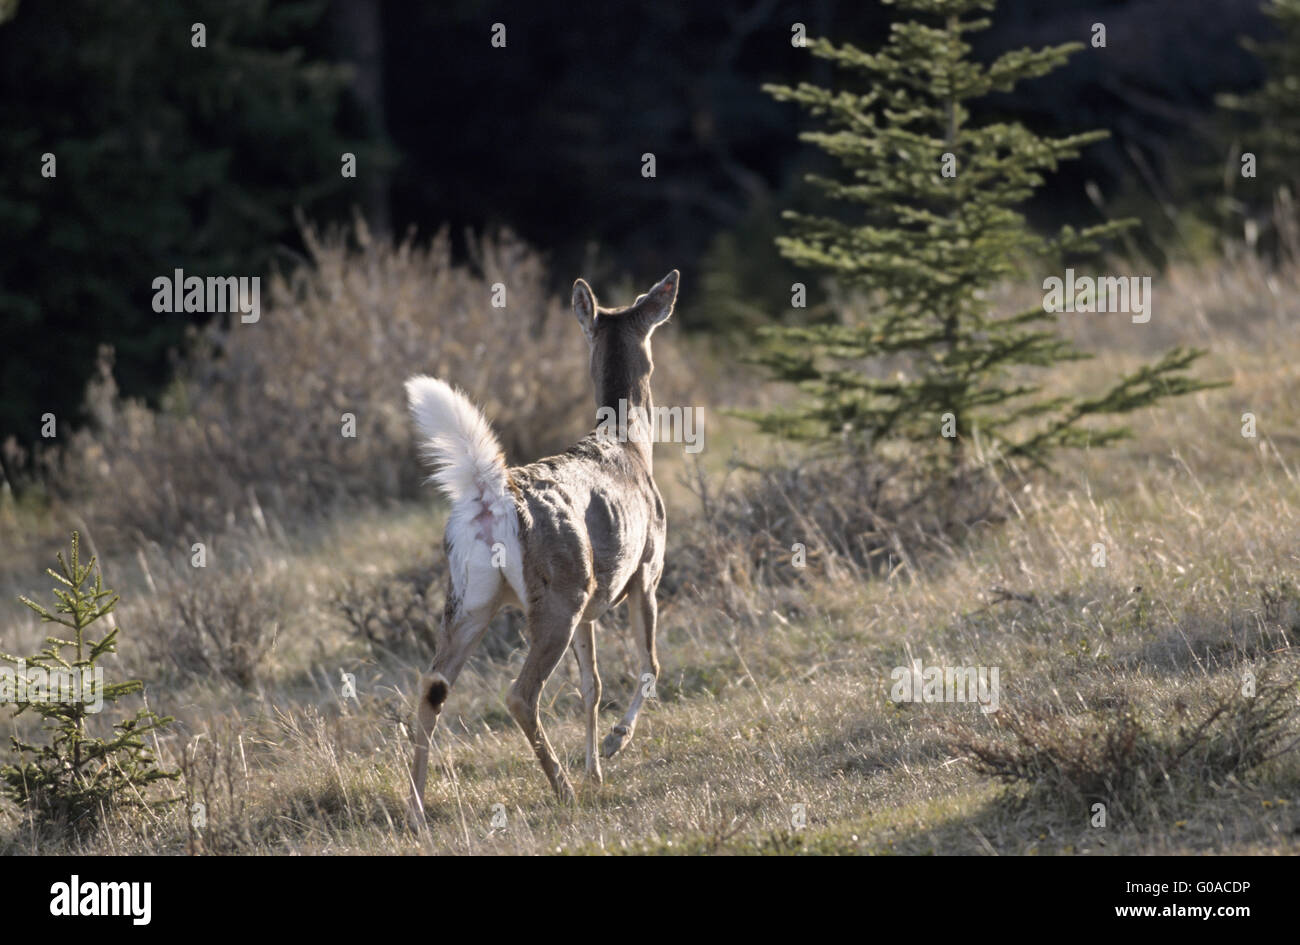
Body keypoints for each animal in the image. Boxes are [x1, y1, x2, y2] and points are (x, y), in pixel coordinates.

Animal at [400, 267, 676, 821]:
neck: (632, 446)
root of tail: (490, 497)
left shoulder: (594, 601)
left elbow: (591, 687)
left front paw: (596, 769)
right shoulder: (646, 570)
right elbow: (649, 666)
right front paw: (615, 744)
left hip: (471, 599)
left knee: (431, 686)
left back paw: (417, 809)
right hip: (557, 593)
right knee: (520, 694)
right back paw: (562, 788)